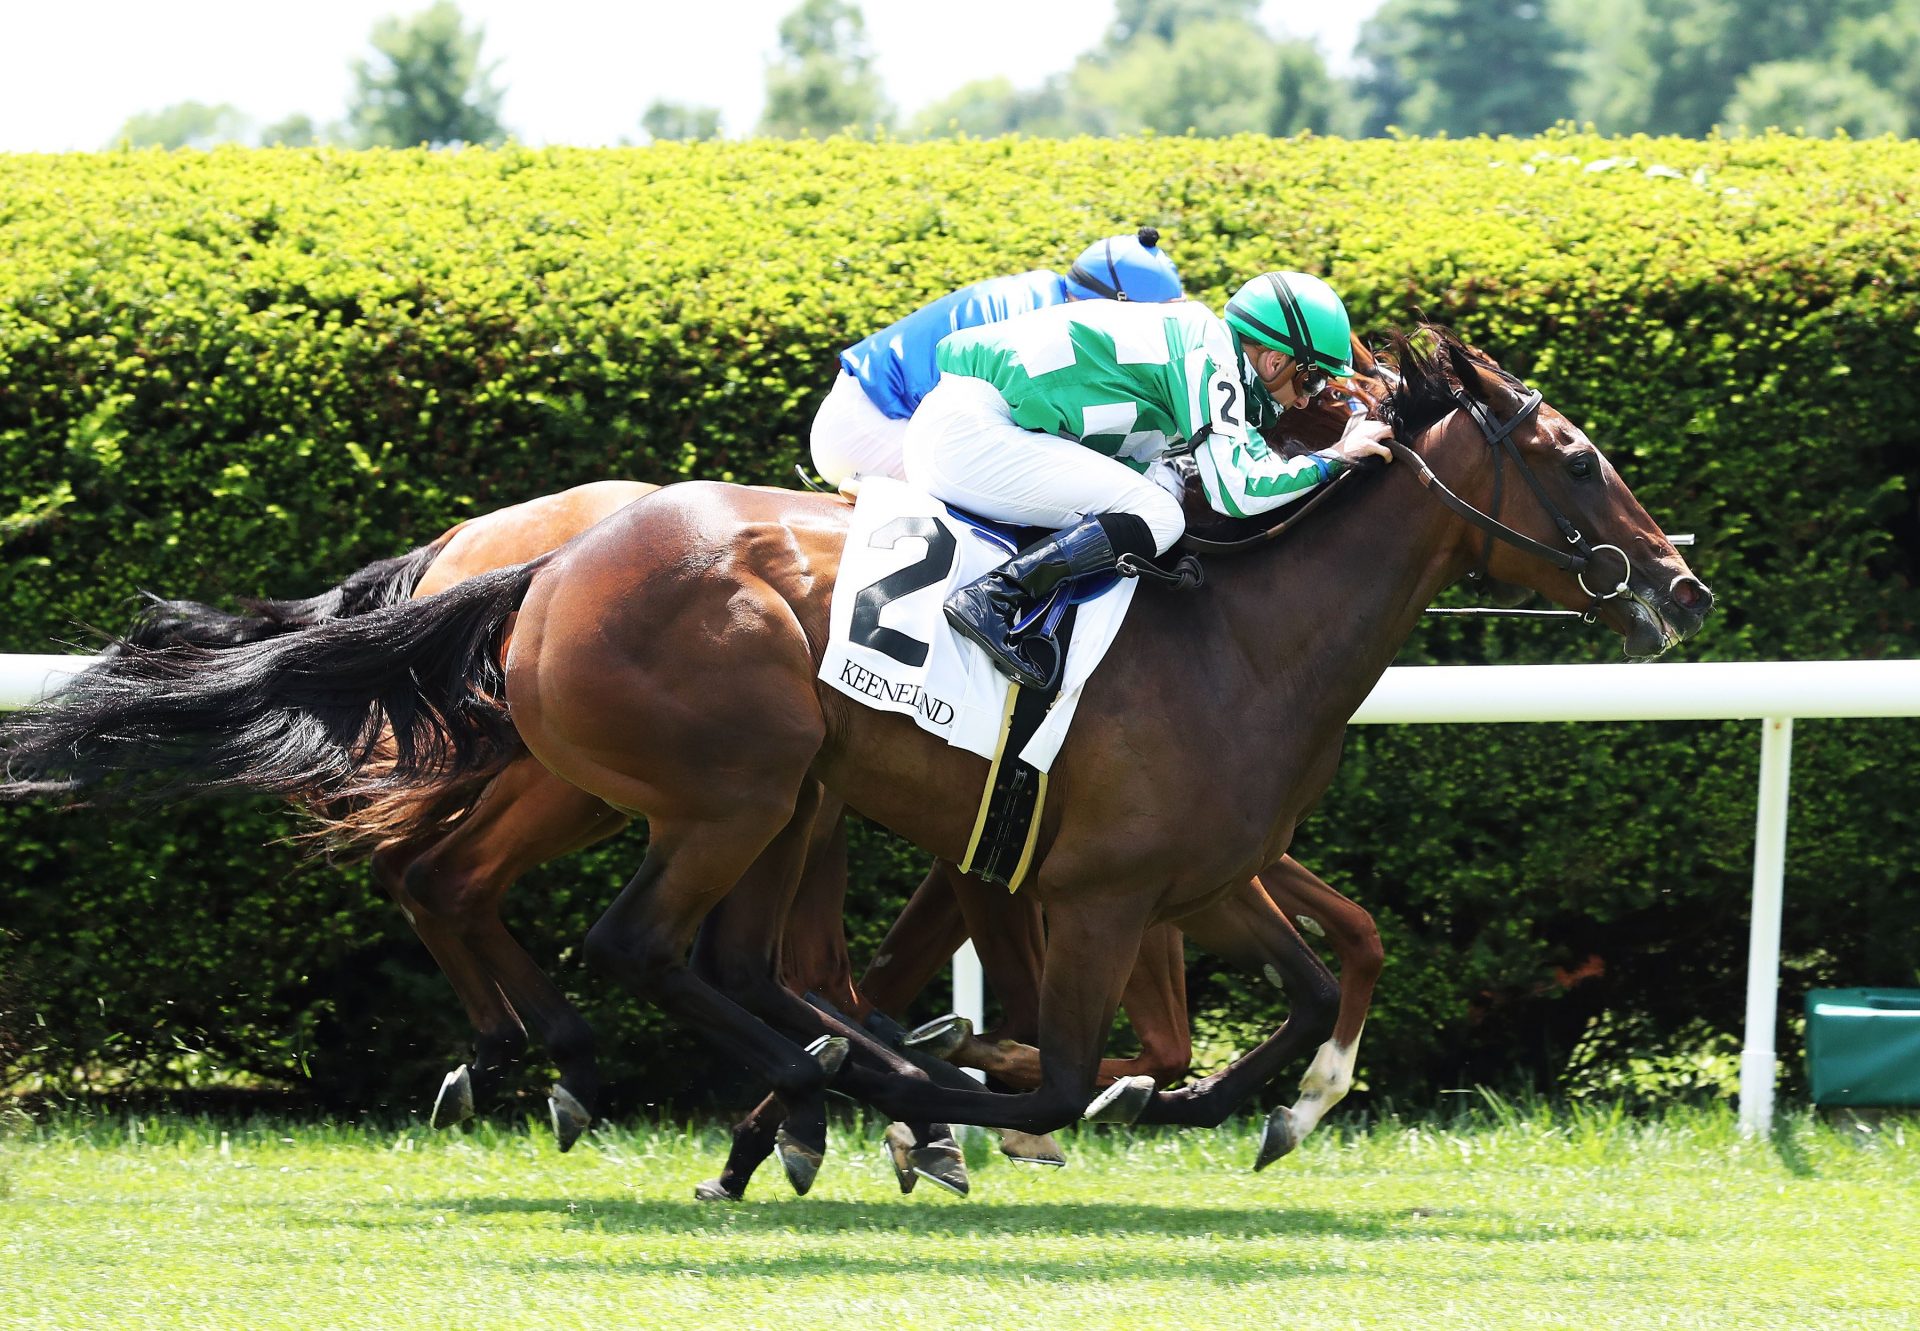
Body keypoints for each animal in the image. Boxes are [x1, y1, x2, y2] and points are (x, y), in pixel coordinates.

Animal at [0, 322, 1712, 1175]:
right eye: (1576, 456)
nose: (1681, 582)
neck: (1237, 631)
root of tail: (534, 565)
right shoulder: (1089, 894)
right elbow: (1072, 1065)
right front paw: (965, 1095)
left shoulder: (1197, 872)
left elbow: (1294, 993)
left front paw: (1273, 1106)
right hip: (726, 788)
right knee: (624, 936)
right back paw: (735, 1082)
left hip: (753, 802)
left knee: (686, 950)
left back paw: (759, 1087)